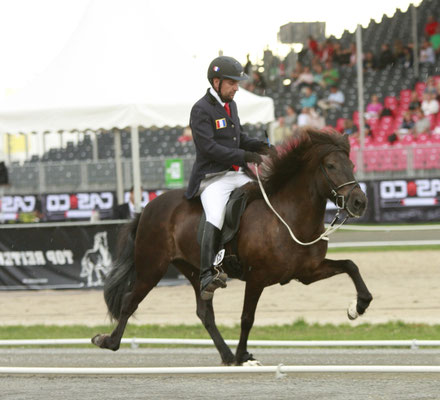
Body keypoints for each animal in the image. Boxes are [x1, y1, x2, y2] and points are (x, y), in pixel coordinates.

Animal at [92, 128, 372, 366]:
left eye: (352, 165)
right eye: (331, 166)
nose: (359, 202)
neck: (288, 215)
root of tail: (148, 207)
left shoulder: (307, 272)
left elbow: (351, 266)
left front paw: (357, 307)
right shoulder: (258, 278)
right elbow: (247, 318)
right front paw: (243, 355)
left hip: (193, 270)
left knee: (204, 312)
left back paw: (226, 355)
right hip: (152, 266)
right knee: (130, 301)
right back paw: (108, 341)